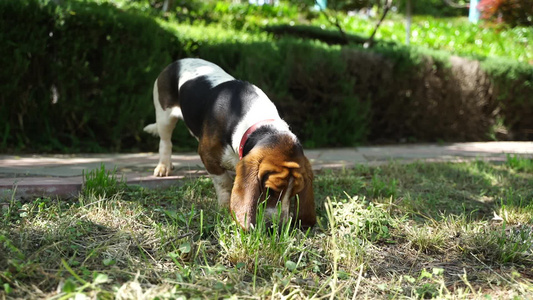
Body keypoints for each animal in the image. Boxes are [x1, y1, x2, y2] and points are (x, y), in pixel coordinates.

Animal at [143, 57, 314, 229]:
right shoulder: (207, 155)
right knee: (165, 142)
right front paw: (225, 207)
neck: (260, 125)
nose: (278, 226)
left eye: (294, 193)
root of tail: (178, 62)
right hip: (164, 115)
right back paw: (164, 166)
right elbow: (223, 182)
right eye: (269, 190)